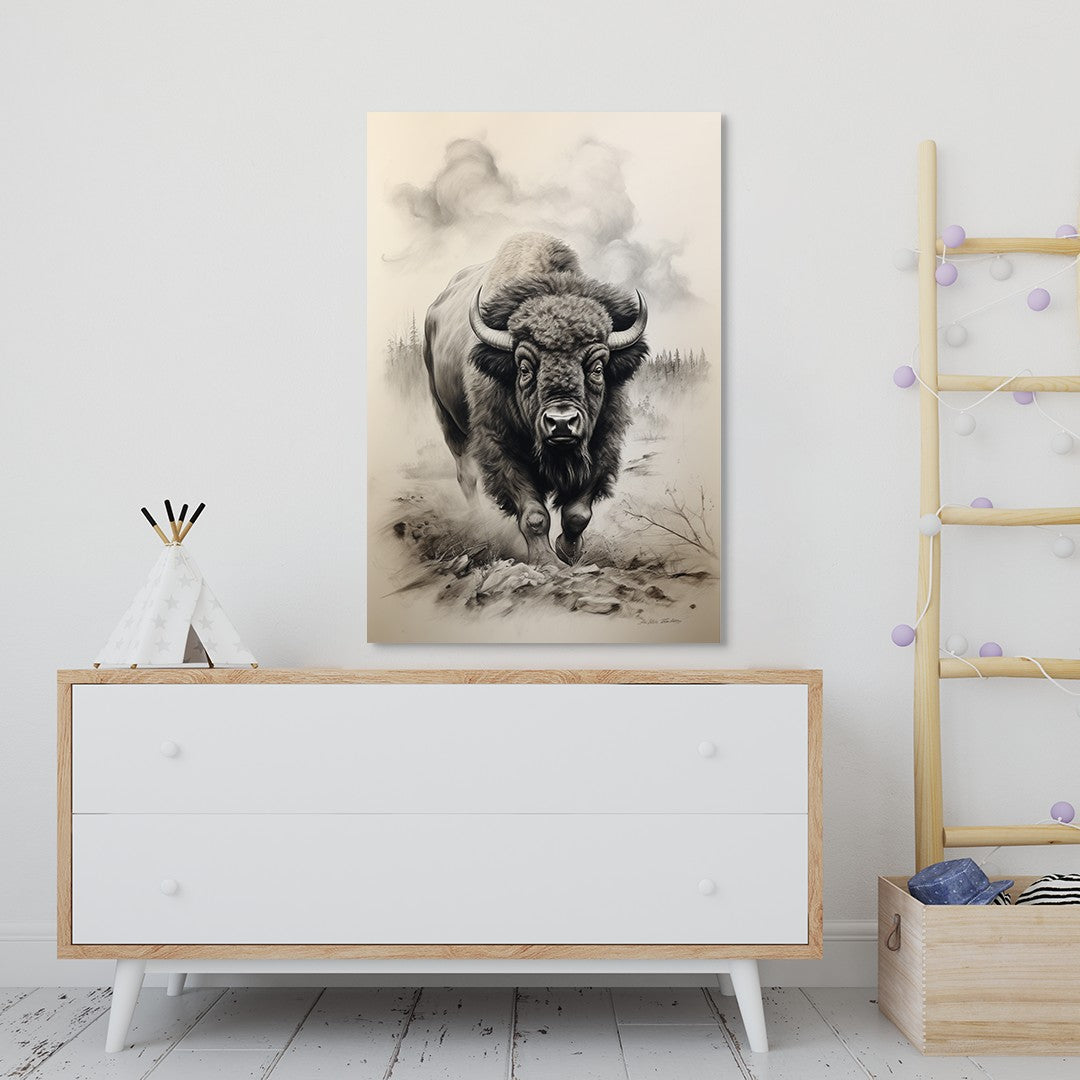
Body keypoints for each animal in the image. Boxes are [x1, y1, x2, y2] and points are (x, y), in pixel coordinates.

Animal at [423, 232, 648, 565]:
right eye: (524, 368)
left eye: (597, 368)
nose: (562, 423)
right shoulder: (502, 447)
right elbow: (534, 514)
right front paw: (545, 560)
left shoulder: (601, 444)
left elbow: (577, 513)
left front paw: (569, 552)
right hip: (448, 421)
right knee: (466, 476)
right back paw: (478, 525)